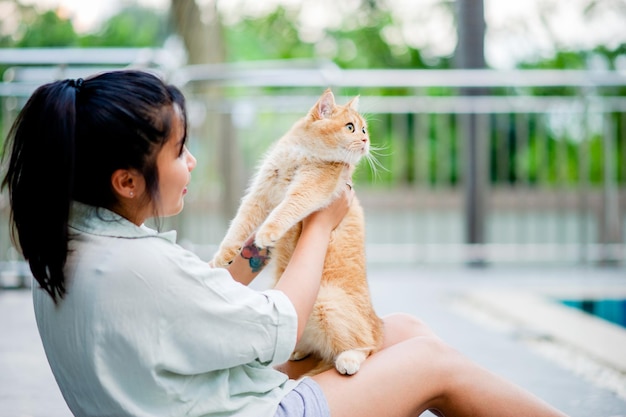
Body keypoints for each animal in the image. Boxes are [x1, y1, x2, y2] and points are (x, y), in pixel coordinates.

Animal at [212, 88, 382, 374]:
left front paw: (267, 232)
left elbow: (287, 208)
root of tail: (376, 319)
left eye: (364, 129)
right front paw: (222, 256)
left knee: (368, 344)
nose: (366, 139)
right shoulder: (261, 192)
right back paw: (301, 350)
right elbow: (240, 222)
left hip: (327, 302)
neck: (301, 155)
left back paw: (348, 358)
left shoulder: (310, 188)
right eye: (350, 127)